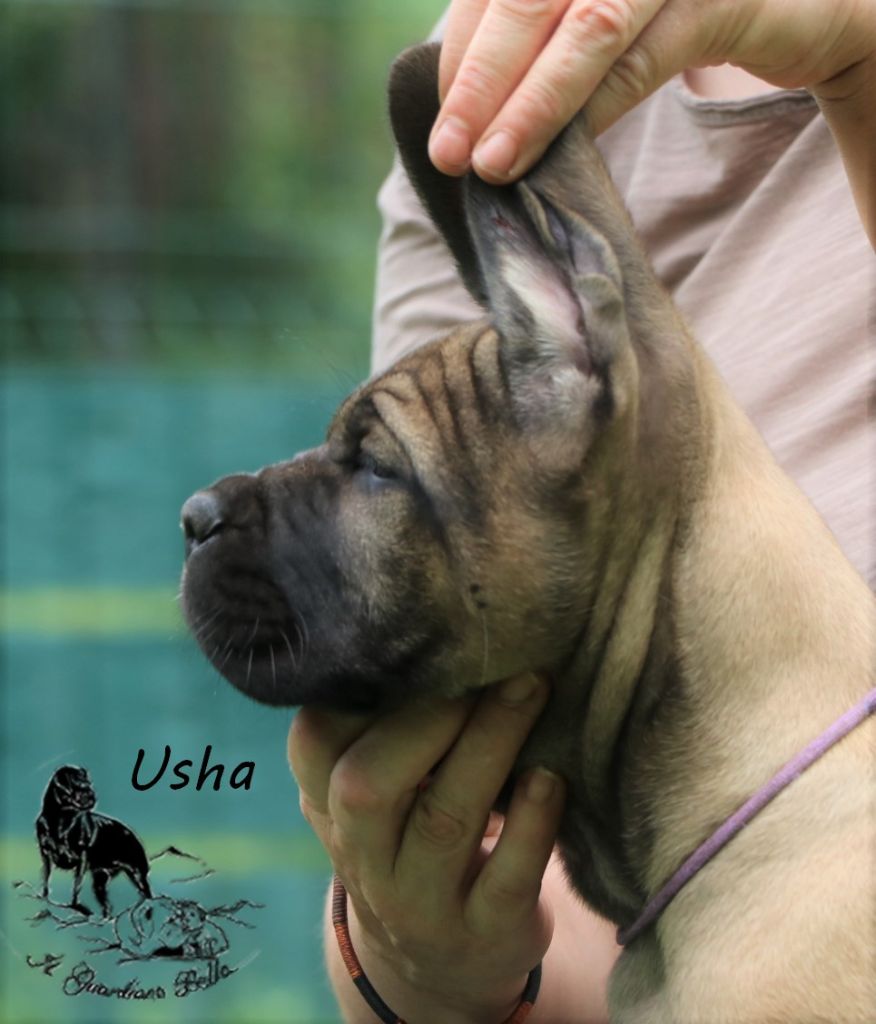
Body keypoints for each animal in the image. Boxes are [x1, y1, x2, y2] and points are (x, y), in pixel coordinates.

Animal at [36, 765, 152, 918]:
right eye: (78, 786)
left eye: (89, 784)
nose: (91, 794)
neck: (61, 821)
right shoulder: (45, 855)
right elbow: (46, 878)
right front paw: (44, 897)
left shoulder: (81, 859)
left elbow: (76, 886)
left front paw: (76, 906)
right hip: (100, 879)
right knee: (106, 903)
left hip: (138, 874)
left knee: (147, 893)